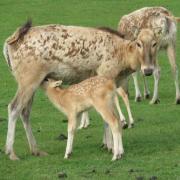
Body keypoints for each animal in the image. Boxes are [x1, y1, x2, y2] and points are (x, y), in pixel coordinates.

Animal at [3, 20, 160, 160]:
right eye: (138, 43)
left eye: (155, 43)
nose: (148, 70)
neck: (124, 64)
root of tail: (9, 42)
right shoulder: (105, 75)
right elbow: (107, 119)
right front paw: (110, 146)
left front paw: (106, 144)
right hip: (28, 79)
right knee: (14, 107)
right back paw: (11, 152)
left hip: (31, 82)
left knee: (25, 111)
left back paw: (36, 150)